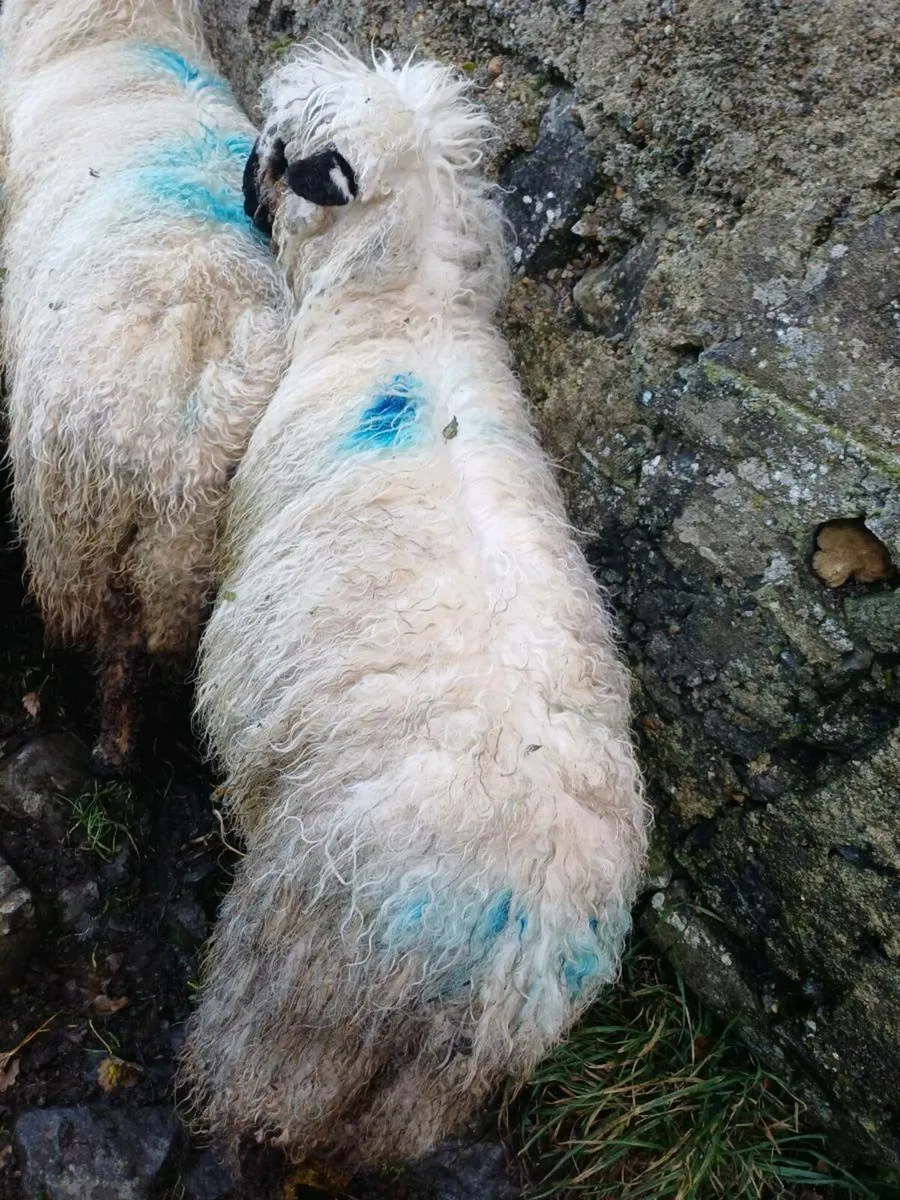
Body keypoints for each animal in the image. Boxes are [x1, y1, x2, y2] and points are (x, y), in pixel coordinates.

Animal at [182, 44, 649, 1168]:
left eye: (281, 153)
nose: (238, 175)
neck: (406, 312)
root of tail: (520, 942)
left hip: (299, 997)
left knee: (257, 1085)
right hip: (424, 1091)